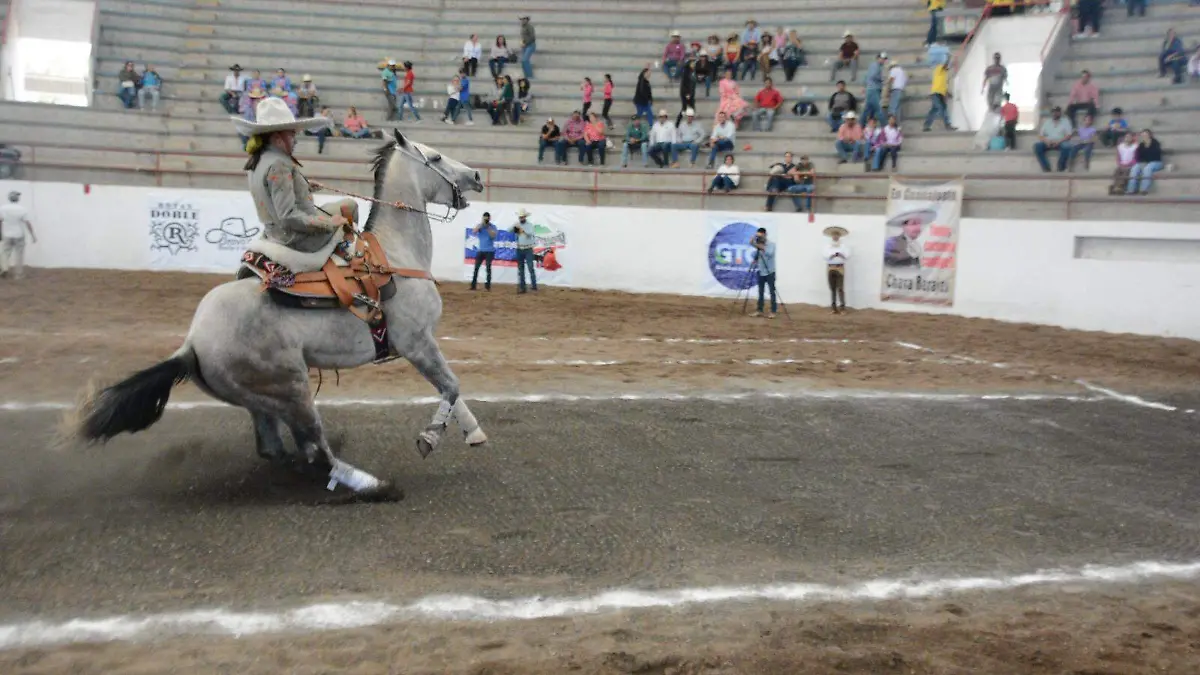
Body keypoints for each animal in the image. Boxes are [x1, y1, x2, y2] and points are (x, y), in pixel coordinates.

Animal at [69, 132, 487, 499]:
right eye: (435, 157)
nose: (477, 176)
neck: (394, 257)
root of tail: (191, 343)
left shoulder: (421, 344)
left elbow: (451, 388)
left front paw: (474, 433)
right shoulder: (416, 342)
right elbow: (451, 385)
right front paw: (429, 439)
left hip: (261, 399)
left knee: (279, 449)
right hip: (293, 390)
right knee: (316, 449)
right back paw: (372, 486)